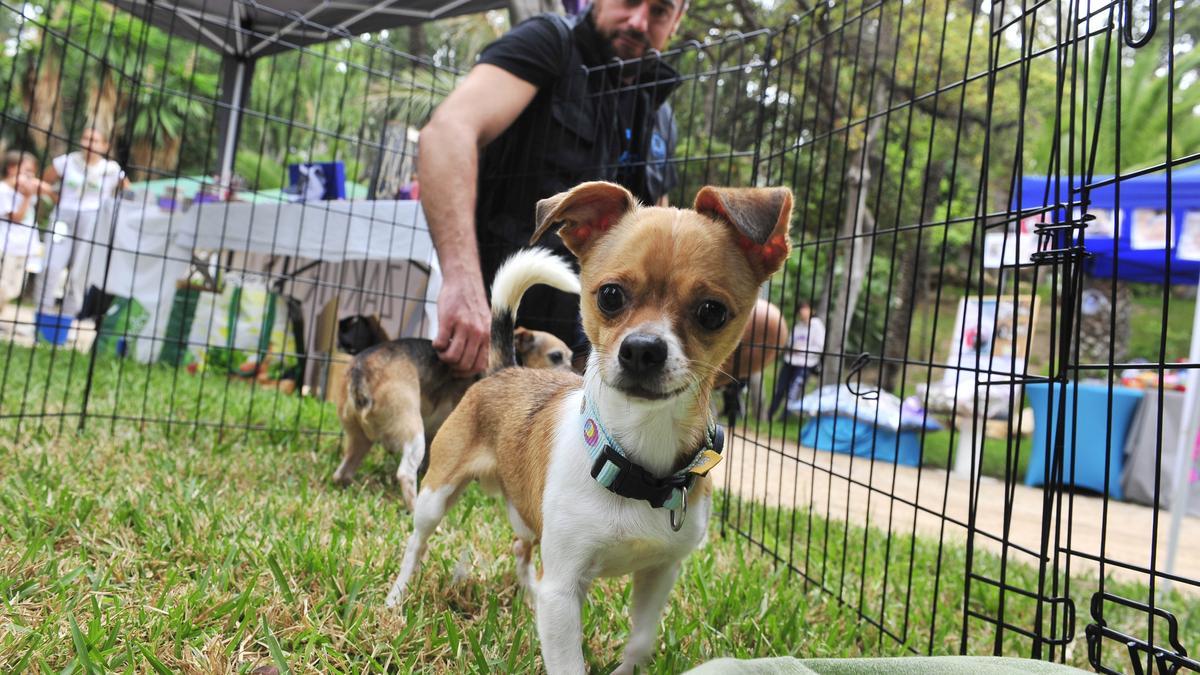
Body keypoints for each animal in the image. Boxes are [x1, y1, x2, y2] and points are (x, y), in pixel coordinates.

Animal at [388, 180, 792, 672]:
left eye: (712, 312)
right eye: (610, 296)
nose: (642, 349)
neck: (636, 461)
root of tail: (506, 367)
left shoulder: (659, 573)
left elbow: (640, 639)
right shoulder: (564, 589)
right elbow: (568, 661)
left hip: (527, 515)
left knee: (522, 549)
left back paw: (528, 596)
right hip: (437, 493)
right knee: (418, 543)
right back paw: (396, 596)